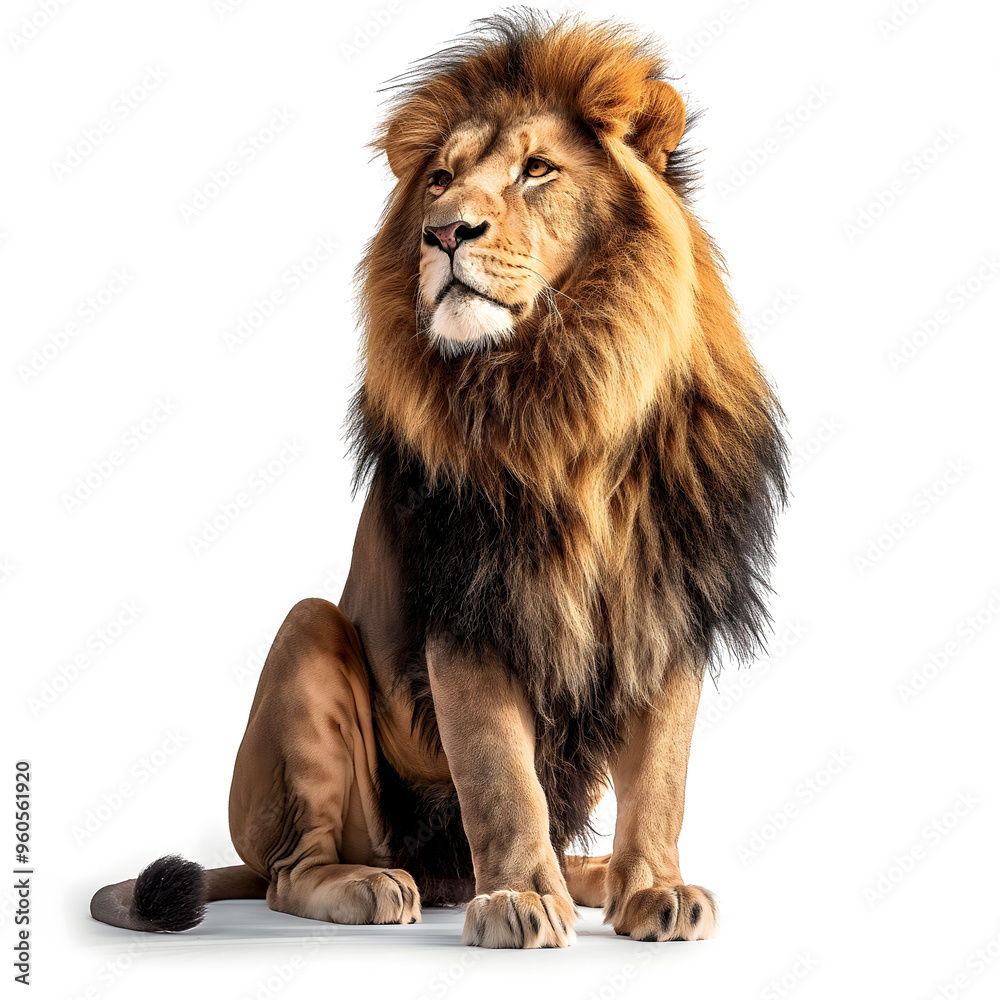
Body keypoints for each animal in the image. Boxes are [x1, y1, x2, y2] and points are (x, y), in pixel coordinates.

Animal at [90, 13, 786, 948]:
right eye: (441, 181)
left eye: (538, 169)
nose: (446, 232)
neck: (564, 400)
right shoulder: (469, 611)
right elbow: (500, 777)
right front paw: (519, 899)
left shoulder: (670, 605)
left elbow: (661, 779)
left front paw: (654, 890)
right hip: (308, 640)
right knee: (290, 873)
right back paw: (376, 885)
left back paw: (590, 874)